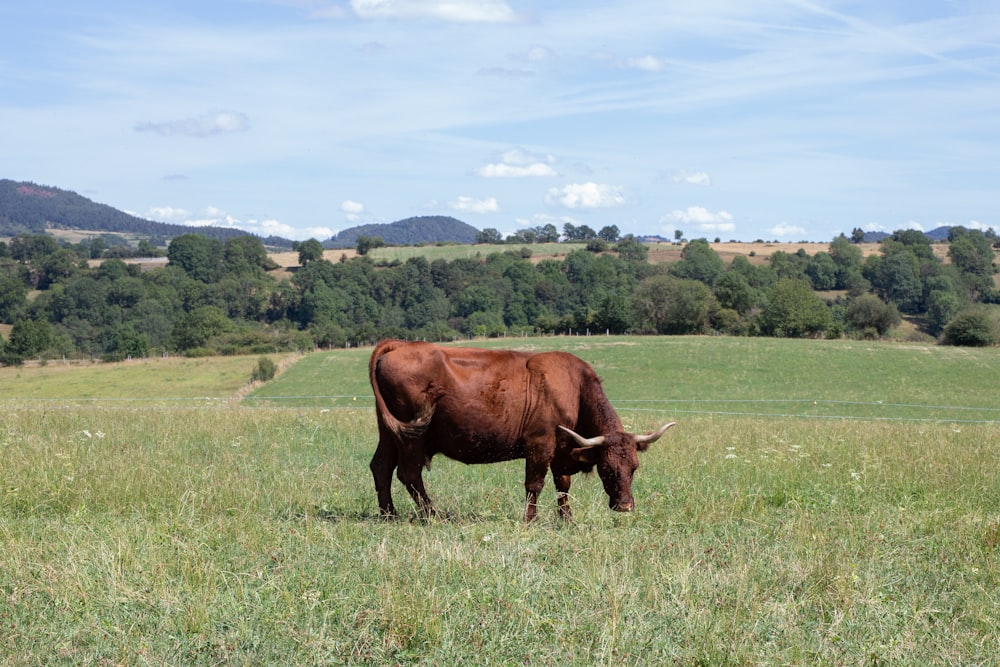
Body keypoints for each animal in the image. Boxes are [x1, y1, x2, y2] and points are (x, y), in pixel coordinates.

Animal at [368, 342, 672, 524]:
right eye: (606, 469)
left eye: (634, 467)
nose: (625, 506)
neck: (574, 388)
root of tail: (400, 345)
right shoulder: (540, 445)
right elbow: (534, 485)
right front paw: (530, 519)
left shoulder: (562, 449)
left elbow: (563, 485)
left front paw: (566, 519)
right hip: (413, 438)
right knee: (409, 474)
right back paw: (434, 515)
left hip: (390, 433)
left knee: (381, 467)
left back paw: (388, 514)